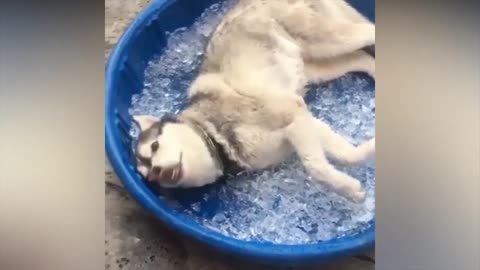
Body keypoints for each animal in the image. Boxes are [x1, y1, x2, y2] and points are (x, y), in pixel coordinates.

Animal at [132, 0, 376, 202]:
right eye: (145, 174)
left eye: (154, 146)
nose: (155, 173)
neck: (215, 136)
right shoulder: (300, 118)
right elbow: (346, 154)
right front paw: (368, 152)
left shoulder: (290, 112)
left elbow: (315, 168)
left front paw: (349, 190)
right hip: (317, 67)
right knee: (361, 58)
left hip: (327, 40)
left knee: (369, 32)